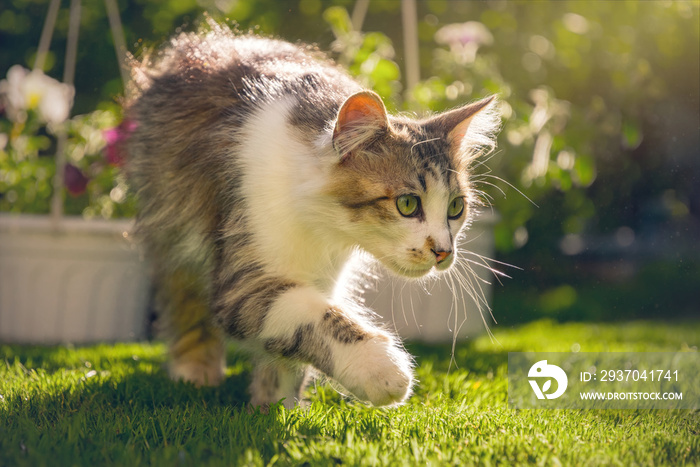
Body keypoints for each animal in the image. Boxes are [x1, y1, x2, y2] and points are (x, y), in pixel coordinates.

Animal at [124, 21, 498, 410]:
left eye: (456, 208)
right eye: (408, 204)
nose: (443, 251)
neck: (322, 227)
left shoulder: (322, 275)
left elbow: (289, 352)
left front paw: (276, 406)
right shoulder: (244, 281)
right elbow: (315, 314)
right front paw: (380, 368)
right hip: (173, 228)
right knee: (184, 300)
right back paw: (195, 371)